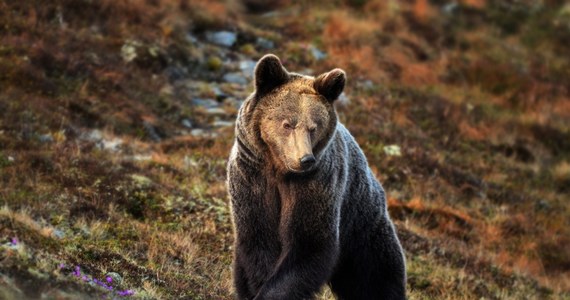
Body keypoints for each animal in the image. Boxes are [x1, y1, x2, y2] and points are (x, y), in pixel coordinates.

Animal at [226, 54, 404, 300]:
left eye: (314, 127)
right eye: (287, 124)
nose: (305, 159)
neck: (279, 170)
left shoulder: (316, 185)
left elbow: (309, 245)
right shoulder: (252, 178)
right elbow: (258, 239)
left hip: (361, 226)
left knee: (375, 276)